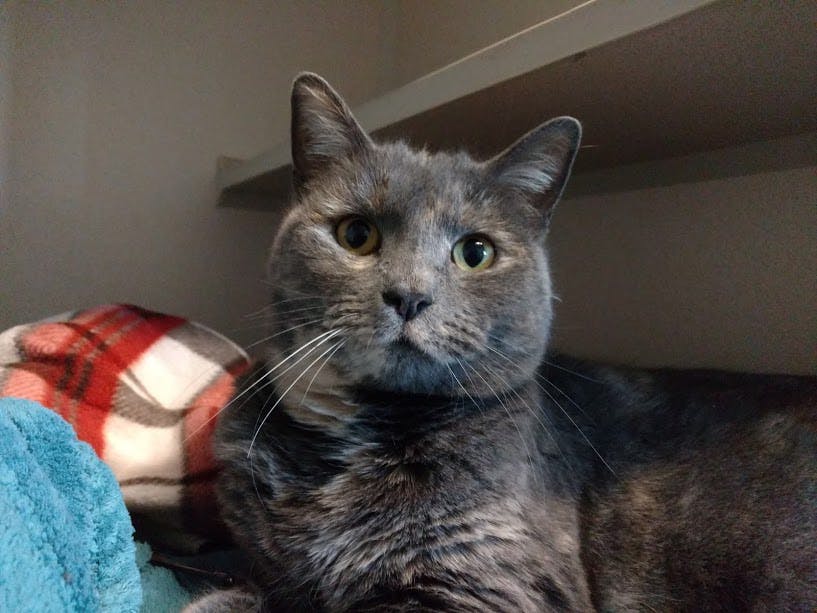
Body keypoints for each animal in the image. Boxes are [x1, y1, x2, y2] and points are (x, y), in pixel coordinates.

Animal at [189, 73, 817, 611]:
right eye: (356, 234)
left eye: (476, 252)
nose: (409, 296)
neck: (361, 434)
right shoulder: (263, 567)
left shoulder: (492, 581)